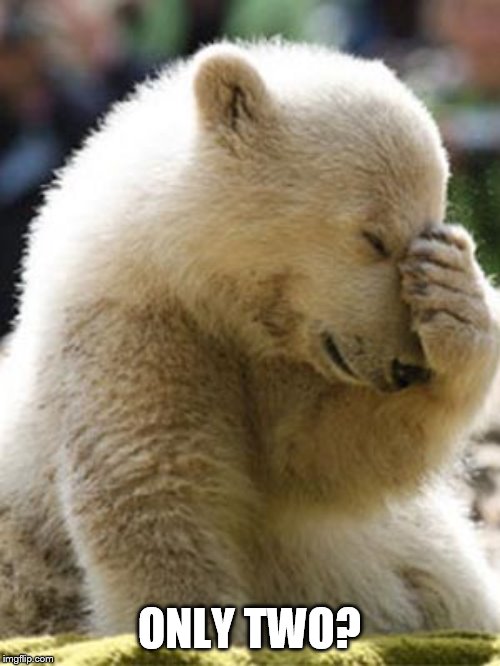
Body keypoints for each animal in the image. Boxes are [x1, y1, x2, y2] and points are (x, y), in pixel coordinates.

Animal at [0, 39, 499, 639]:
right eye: (374, 237)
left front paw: (455, 298)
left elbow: (331, 457)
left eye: (426, 230)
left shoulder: (286, 368)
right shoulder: (130, 327)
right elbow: (154, 487)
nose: (405, 369)